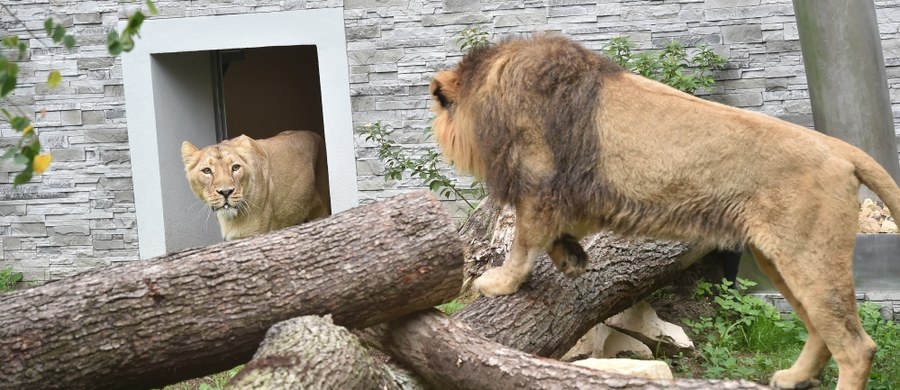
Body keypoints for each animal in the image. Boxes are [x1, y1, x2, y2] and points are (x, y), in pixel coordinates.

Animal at [428, 35, 900, 388]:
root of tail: (842, 149)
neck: (491, 86)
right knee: (822, 330)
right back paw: (792, 377)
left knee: (856, 347)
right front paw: (571, 258)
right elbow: (555, 235)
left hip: (809, 256)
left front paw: (499, 283)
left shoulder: (538, 183)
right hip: (778, 259)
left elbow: (524, 243)